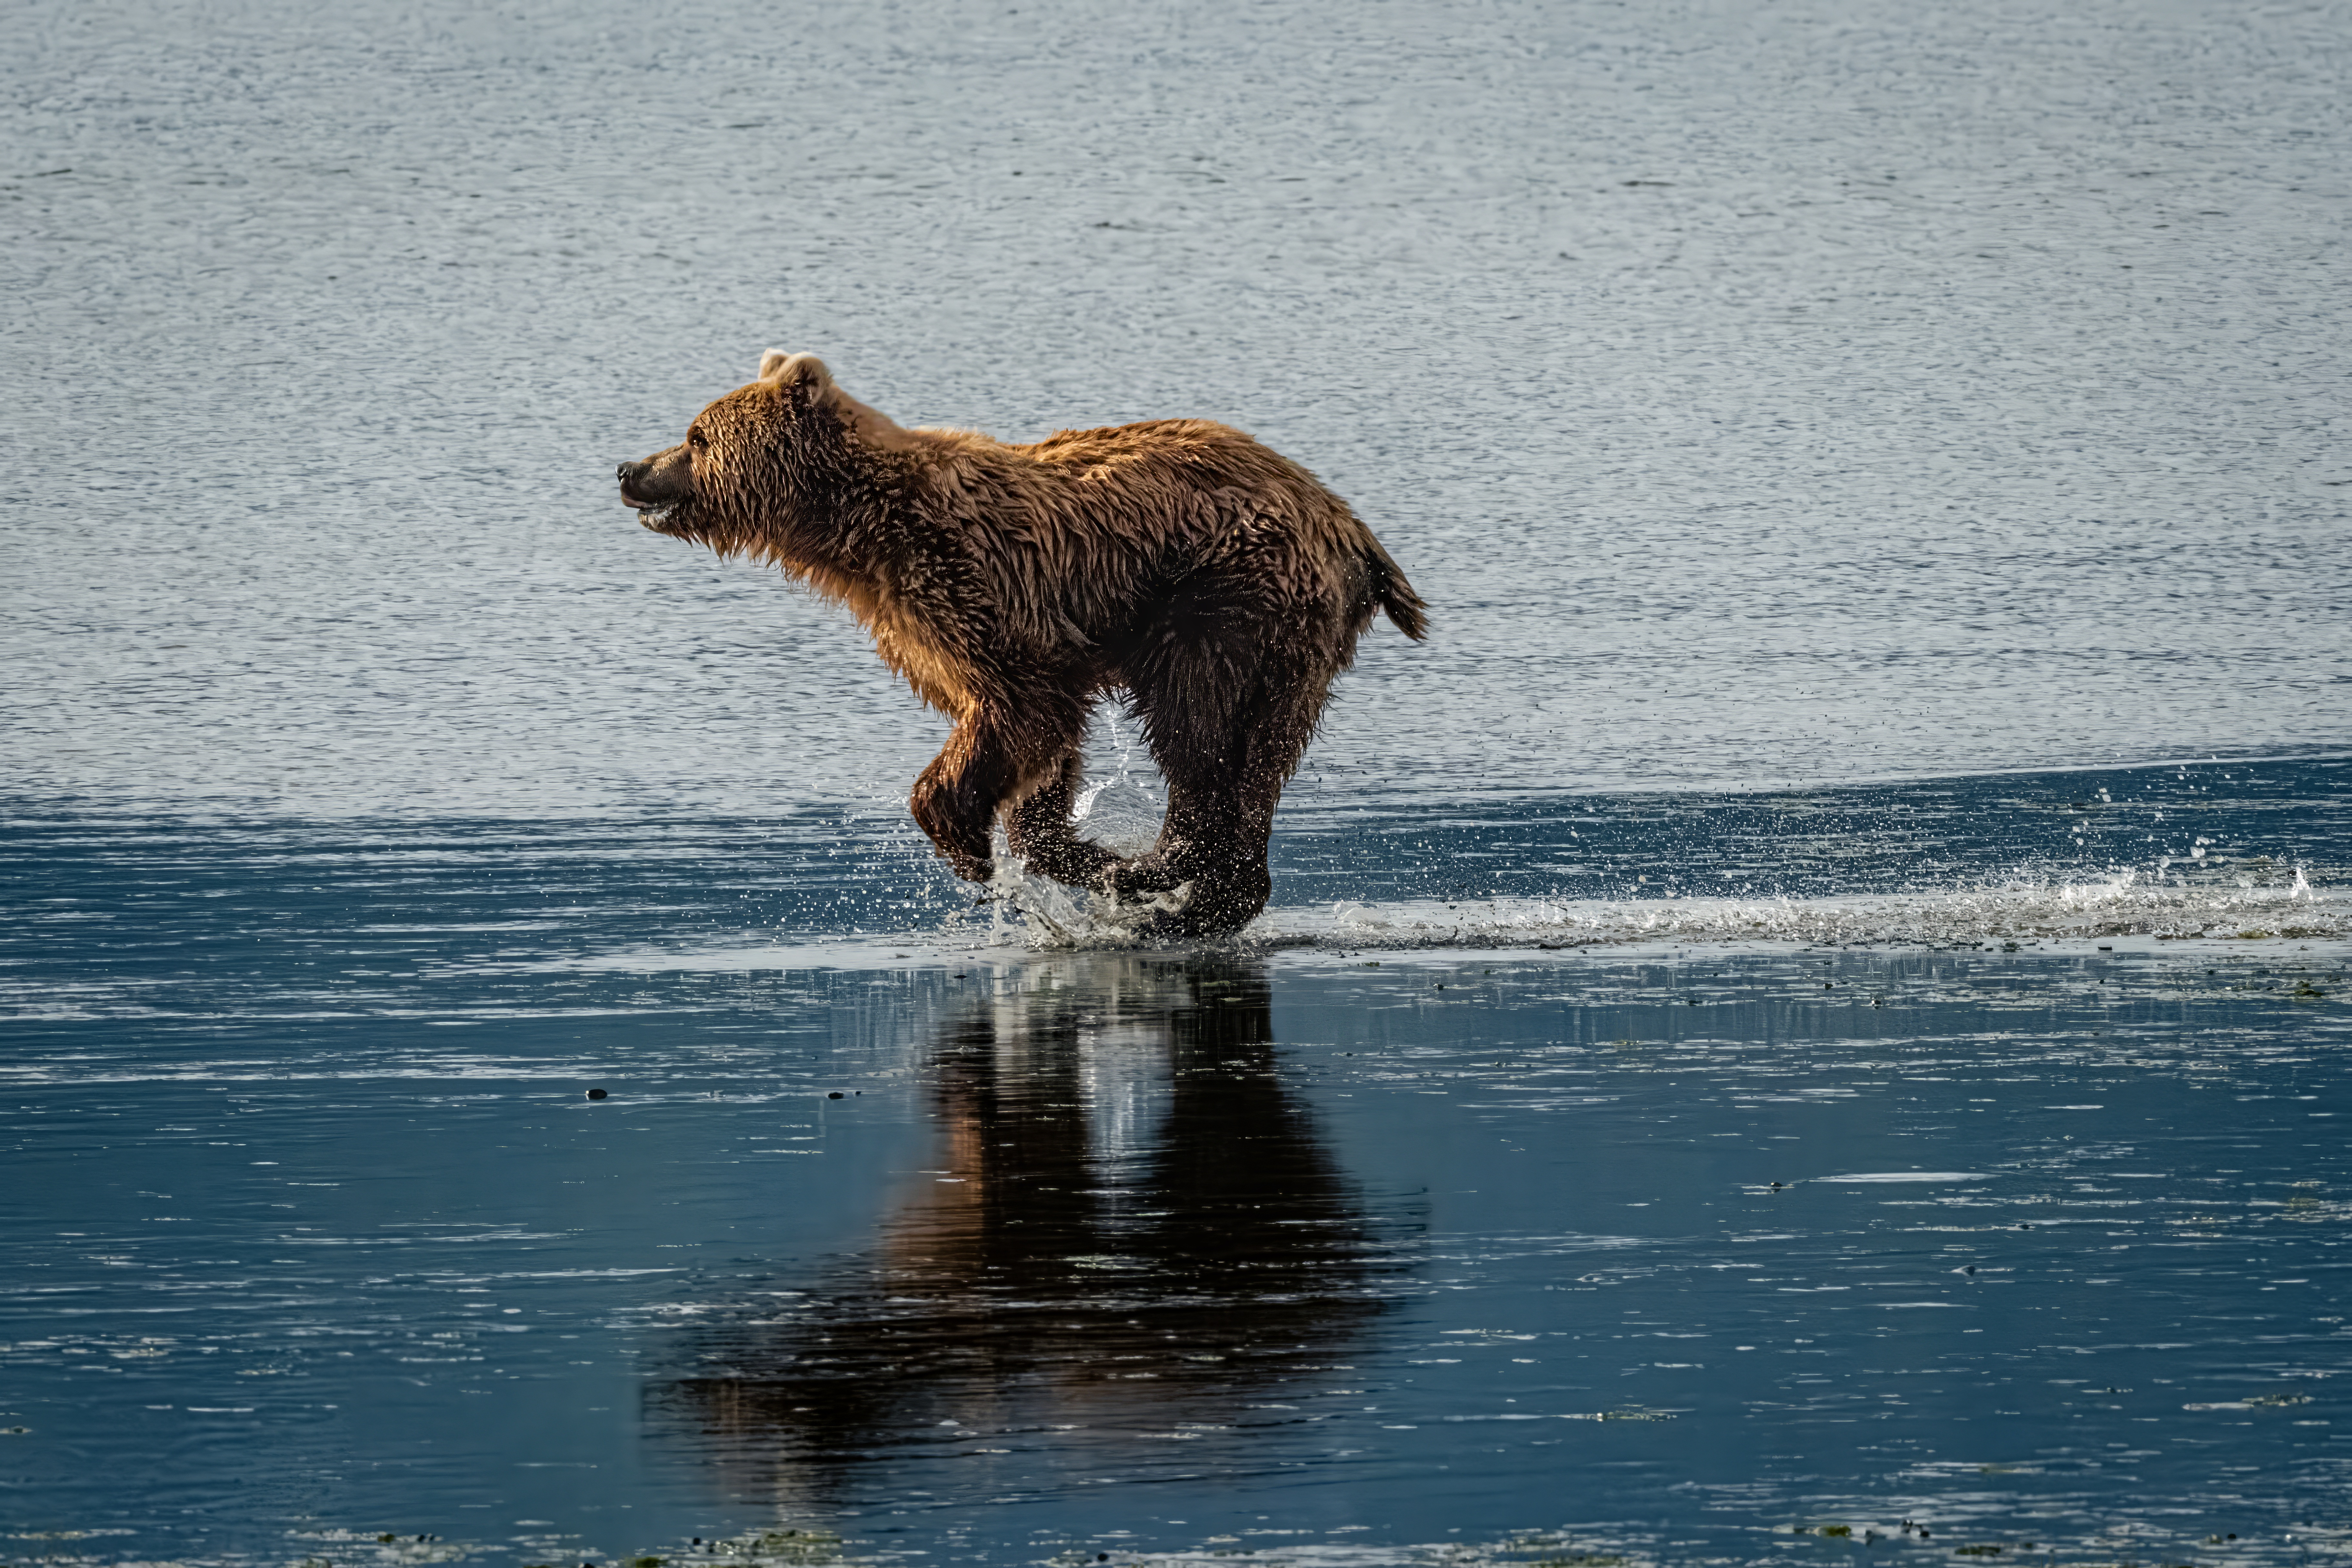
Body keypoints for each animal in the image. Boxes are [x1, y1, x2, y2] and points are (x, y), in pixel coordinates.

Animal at [617, 351, 1426, 936]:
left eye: (695, 436)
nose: (629, 469)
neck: (857, 538)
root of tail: (1350, 527)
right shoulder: (929, 627)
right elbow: (1041, 752)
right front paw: (1060, 851)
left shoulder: (981, 593)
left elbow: (1020, 711)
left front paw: (978, 847)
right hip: (1297, 649)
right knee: (1261, 759)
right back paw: (1196, 896)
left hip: (1224, 597)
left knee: (1196, 725)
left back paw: (1158, 873)